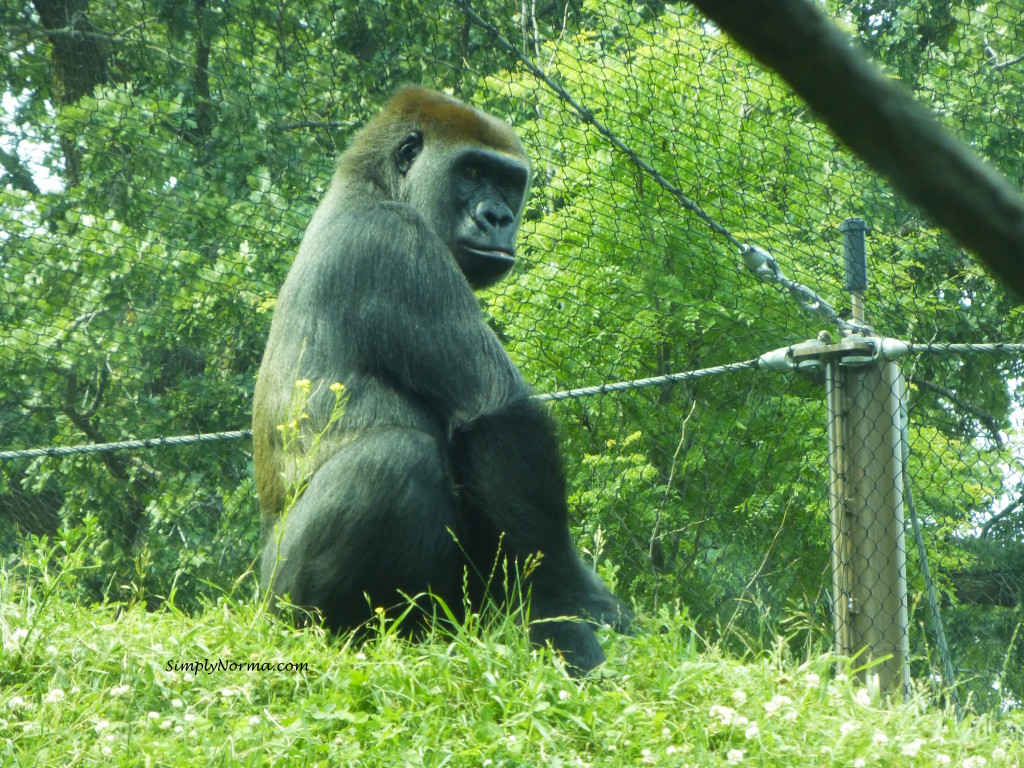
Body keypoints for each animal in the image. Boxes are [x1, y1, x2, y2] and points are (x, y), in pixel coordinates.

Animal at [251, 85, 626, 671]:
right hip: (281, 600)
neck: (369, 184)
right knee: (396, 460)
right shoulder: (395, 241)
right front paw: (563, 611)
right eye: (471, 171)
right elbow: (498, 410)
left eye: (508, 182)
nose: (498, 217)